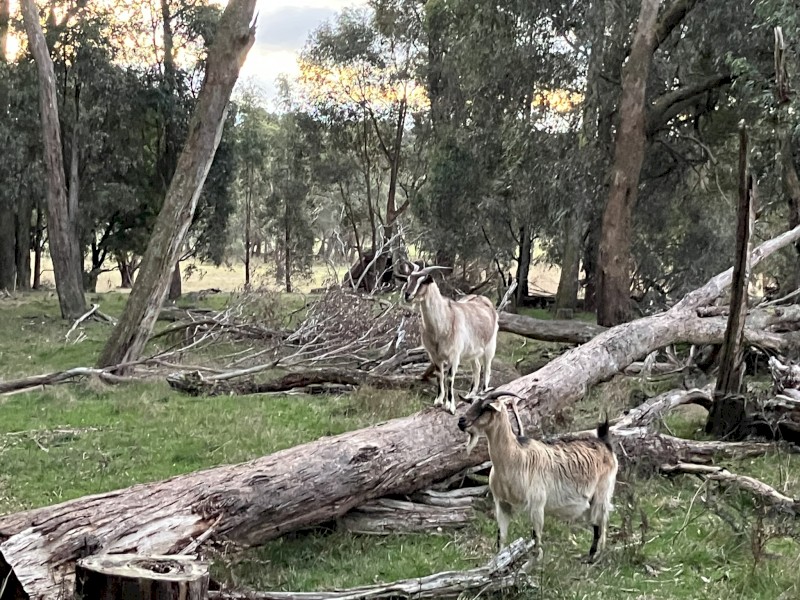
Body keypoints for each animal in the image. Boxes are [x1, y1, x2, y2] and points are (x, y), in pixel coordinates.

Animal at [400, 263, 499, 414]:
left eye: (423, 281)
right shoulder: (434, 355)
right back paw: (470, 395)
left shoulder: (454, 355)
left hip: (490, 346)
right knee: (476, 367)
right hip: (472, 351)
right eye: (408, 279)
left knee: (487, 368)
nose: (407, 295)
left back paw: (483, 392)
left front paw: (450, 406)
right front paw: (438, 401)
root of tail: (485, 300)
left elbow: (450, 377)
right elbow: (439, 375)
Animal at [457, 390, 617, 562]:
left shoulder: (537, 504)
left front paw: (535, 563)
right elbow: (501, 538)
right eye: (471, 402)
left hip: (602, 492)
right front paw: (498, 561)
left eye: (487, 407)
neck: (513, 458)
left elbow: (536, 538)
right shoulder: (502, 504)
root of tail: (604, 441)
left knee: (599, 525)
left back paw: (593, 557)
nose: (461, 421)